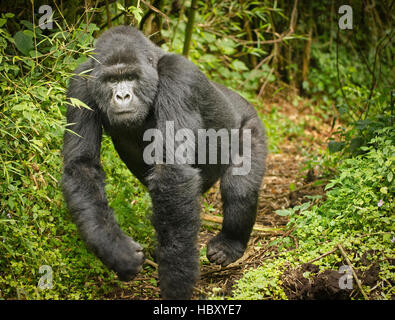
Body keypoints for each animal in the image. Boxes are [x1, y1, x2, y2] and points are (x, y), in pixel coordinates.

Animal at [63, 25, 268, 300]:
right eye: (111, 80)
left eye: (132, 76)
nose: (122, 95)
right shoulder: (80, 84)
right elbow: (81, 166)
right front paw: (116, 250)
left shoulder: (179, 77)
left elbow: (174, 170)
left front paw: (176, 283)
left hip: (252, 125)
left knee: (239, 189)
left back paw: (229, 244)